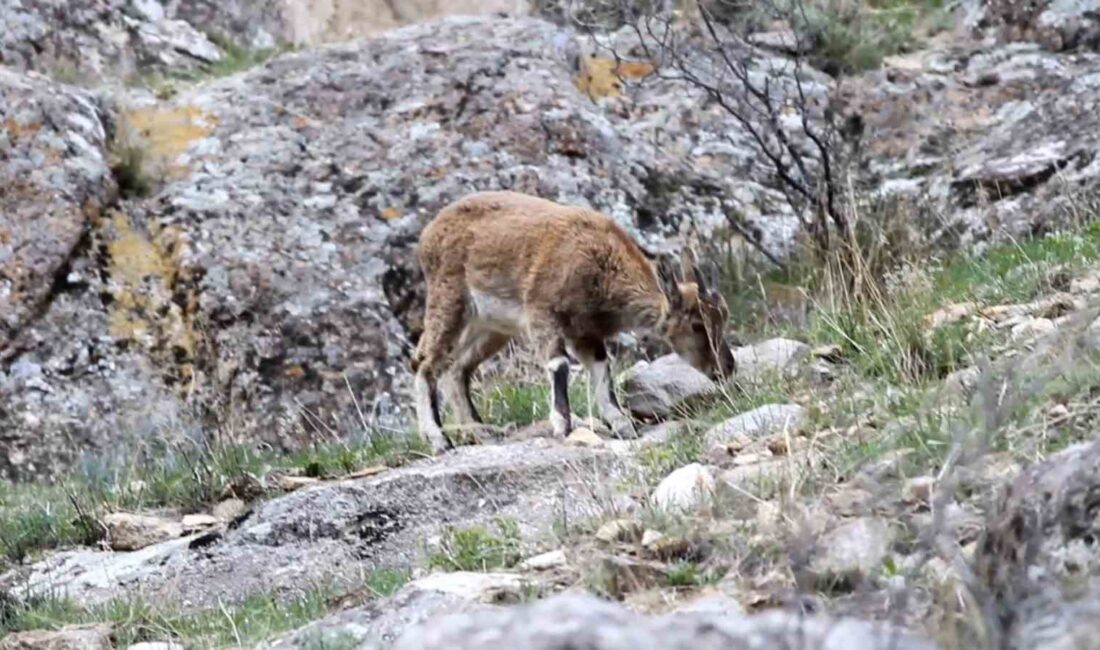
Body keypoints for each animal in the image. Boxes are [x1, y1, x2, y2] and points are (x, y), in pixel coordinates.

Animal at [409, 190, 734, 455]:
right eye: (697, 325)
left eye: (723, 316)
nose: (726, 368)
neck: (602, 267)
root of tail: (428, 233)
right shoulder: (543, 313)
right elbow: (560, 365)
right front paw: (563, 426)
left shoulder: (585, 332)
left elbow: (602, 370)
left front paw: (621, 423)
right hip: (449, 299)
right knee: (425, 362)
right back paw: (439, 439)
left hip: (491, 327)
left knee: (458, 368)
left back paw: (480, 431)